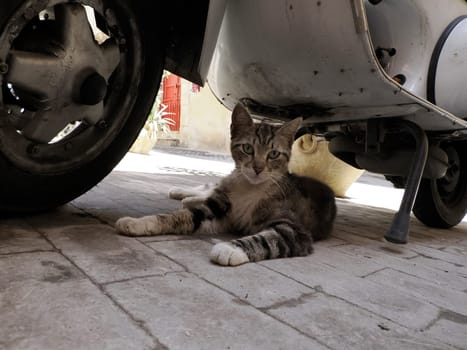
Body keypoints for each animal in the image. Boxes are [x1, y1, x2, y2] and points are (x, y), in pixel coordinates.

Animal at [116, 104, 336, 266]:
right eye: (247, 148)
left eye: (273, 154)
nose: (258, 168)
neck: (250, 188)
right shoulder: (220, 209)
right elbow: (179, 216)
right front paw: (138, 222)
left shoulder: (295, 230)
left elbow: (266, 239)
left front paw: (230, 249)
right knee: (208, 187)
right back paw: (181, 193)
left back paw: (188, 198)